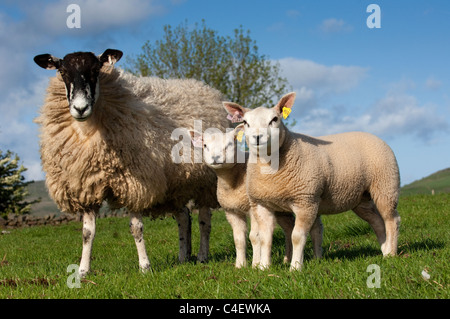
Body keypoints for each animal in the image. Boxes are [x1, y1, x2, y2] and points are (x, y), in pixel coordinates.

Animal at [33, 48, 229, 276]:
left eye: (96, 70)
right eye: (62, 72)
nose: (80, 108)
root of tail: (207, 89)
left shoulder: (134, 183)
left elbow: (136, 228)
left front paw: (144, 267)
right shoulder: (87, 185)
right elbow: (87, 233)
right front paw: (82, 271)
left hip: (206, 182)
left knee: (204, 221)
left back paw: (202, 256)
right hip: (175, 184)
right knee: (183, 218)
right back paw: (183, 257)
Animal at [190, 126, 324, 268]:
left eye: (230, 144)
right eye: (205, 145)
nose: (215, 157)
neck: (232, 182)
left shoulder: (253, 208)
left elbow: (255, 237)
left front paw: (255, 264)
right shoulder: (231, 211)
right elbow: (238, 239)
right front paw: (240, 265)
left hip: (307, 197)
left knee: (315, 227)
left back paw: (316, 258)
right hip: (282, 208)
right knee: (289, 228)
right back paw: (288, 259)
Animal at [224, 94, 400, 272]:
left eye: (274, 119)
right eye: (246, 122)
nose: (258, 137)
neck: (270, 168)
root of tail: (376, 137)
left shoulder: (305, 201)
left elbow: (297, 236)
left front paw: (295, 267)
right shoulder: (261, 204)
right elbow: (265, 238)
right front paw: (263, 268)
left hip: (385, 185)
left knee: (391, 220)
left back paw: (391, 254)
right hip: (361, 198)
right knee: (377, 222)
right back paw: (384, 250)